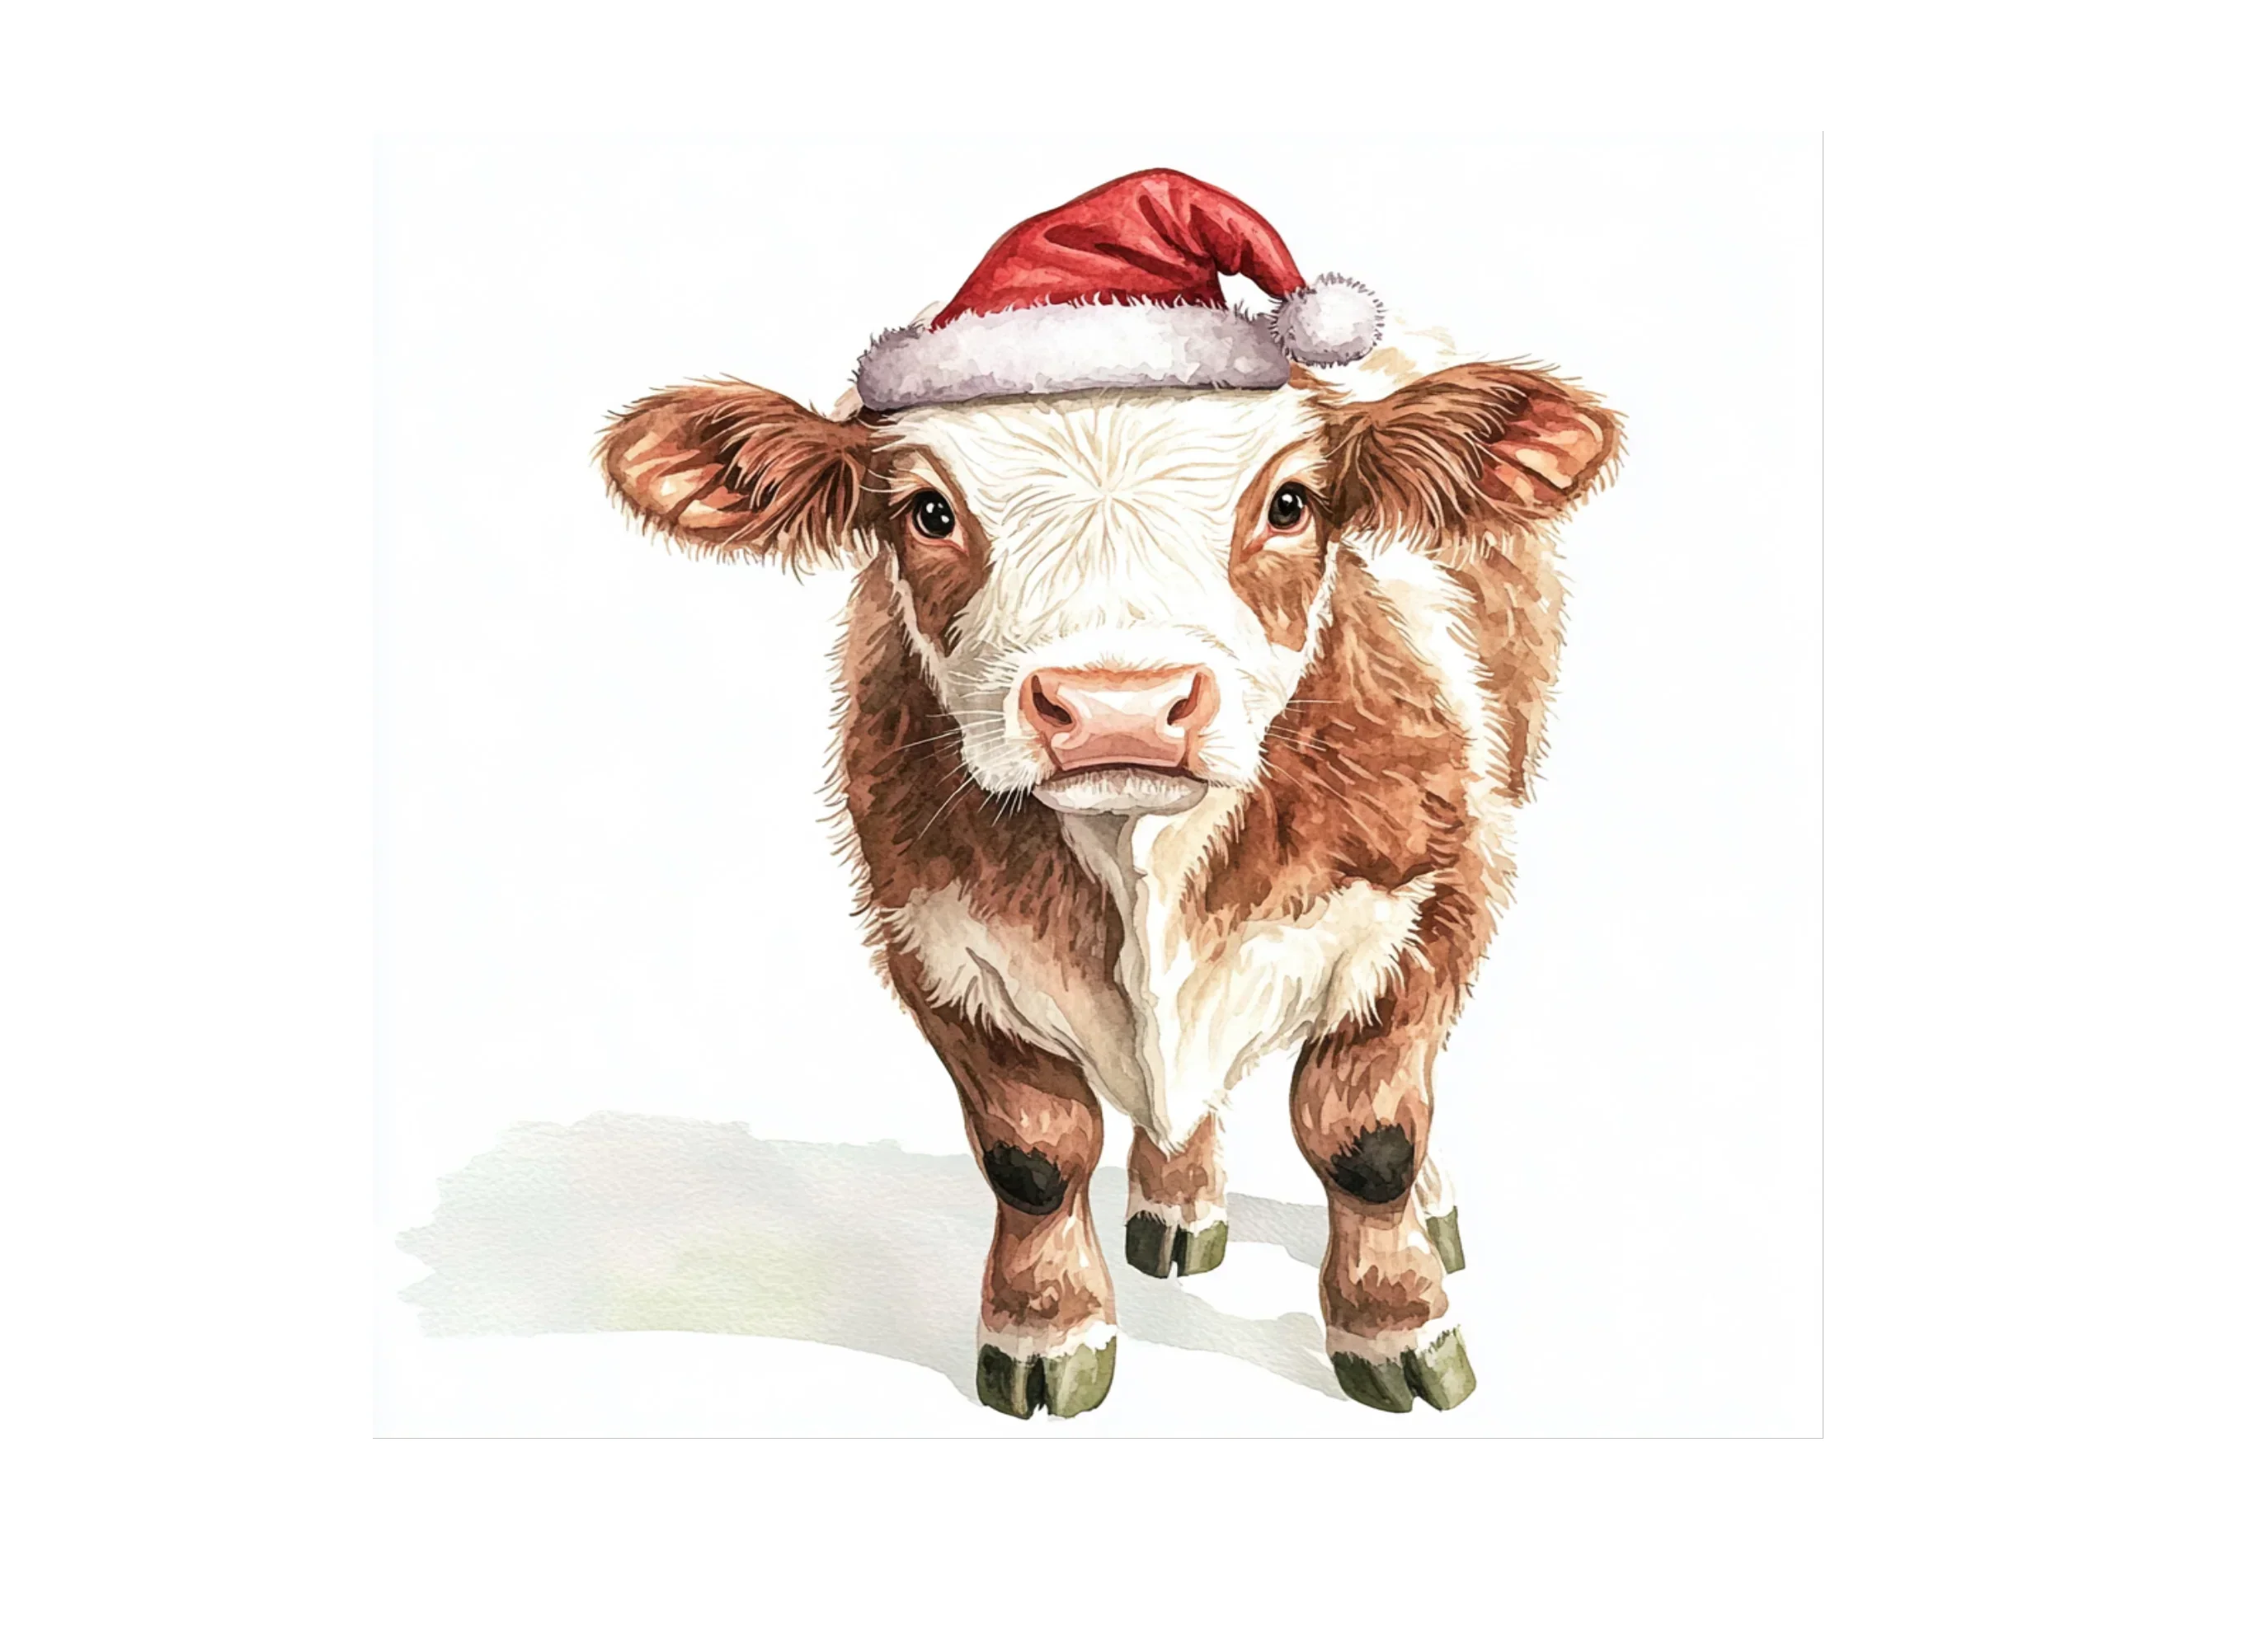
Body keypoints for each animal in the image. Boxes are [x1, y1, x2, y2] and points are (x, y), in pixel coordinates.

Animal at [597, 171, 1621, 1418]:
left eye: (1289, 502)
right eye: (927, 512)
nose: (1118, 706)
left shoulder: (1440, 895)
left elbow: (1366, 1134)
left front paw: (1397, 1326)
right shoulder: (929, 939)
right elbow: (1033, 1155)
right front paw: (1046, 1330)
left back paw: (1427, 1203)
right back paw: (1175, 1199)